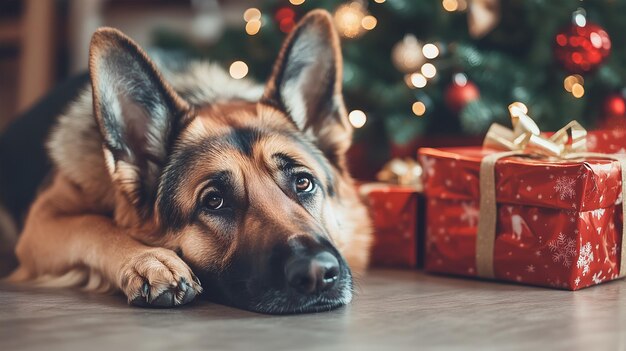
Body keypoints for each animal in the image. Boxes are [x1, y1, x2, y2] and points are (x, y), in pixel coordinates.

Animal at [0, 10, 370, 314]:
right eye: (214, 201)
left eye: (303, 182)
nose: (317, 272)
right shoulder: (41, 223)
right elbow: (92, 224)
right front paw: (149, 259)